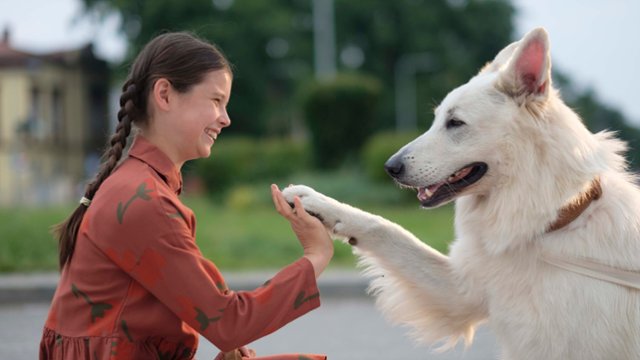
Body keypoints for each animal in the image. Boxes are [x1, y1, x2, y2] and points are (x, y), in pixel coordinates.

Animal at [284, 28, 640, 360]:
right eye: (437, 119)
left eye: (455, 123)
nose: (389, 167)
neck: (557, 222)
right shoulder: (461, 291)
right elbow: (386, 227)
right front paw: (317, 204)